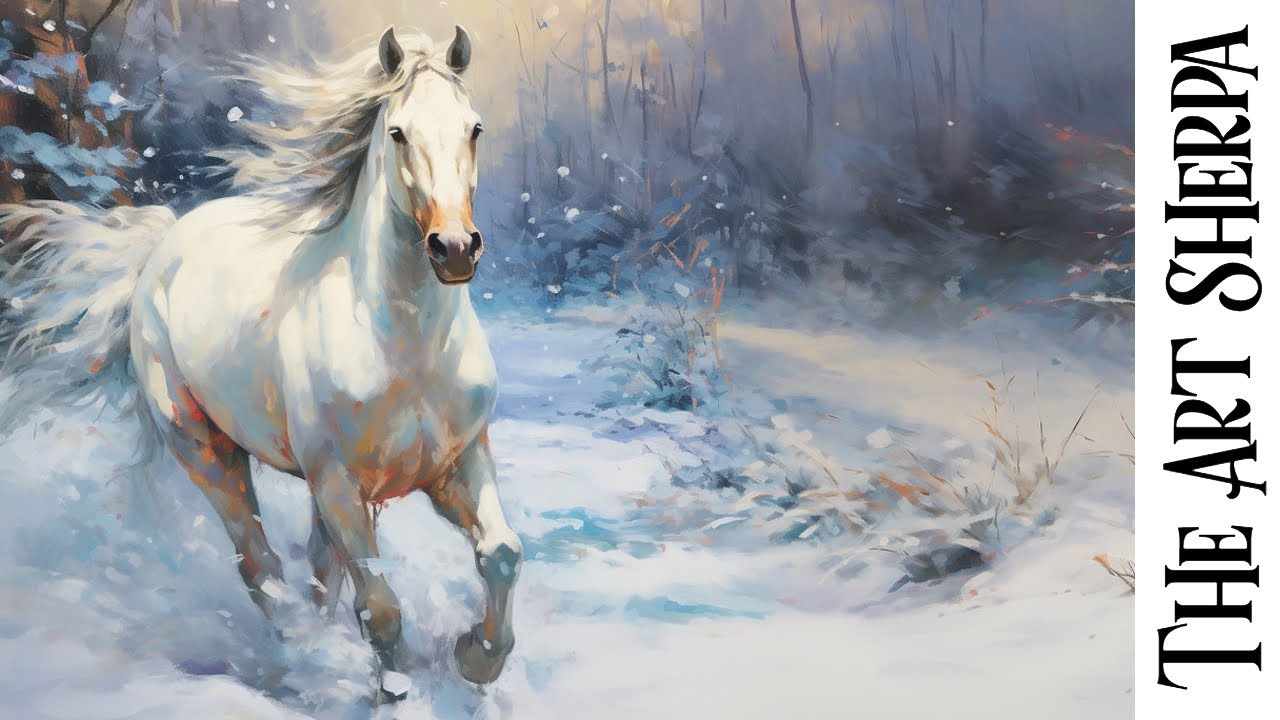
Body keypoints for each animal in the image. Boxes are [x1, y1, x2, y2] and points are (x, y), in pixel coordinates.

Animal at [0, 26, 521, 693]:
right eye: (399, 133)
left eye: (474, 128)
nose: (454, 248)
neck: (406, 348)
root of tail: (161, 248)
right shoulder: (340, 486)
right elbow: (379, 607)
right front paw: (396, 690)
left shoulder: (458, 463)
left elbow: (501, 553)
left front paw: (476, 656)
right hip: (207, 452)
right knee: (261, 567)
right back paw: (302, 660)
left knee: (318, 574)